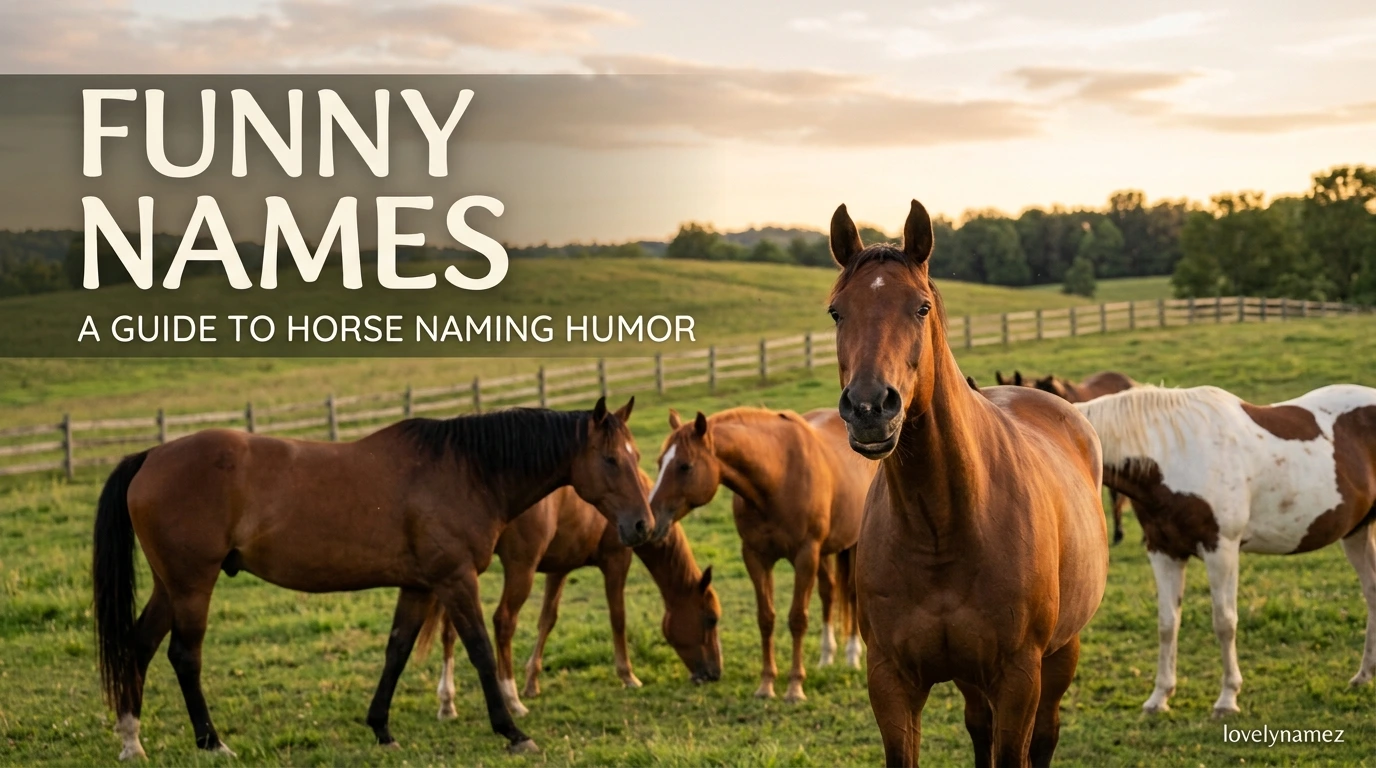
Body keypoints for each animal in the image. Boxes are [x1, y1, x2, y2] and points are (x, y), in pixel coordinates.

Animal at [92, 397, 653, 760]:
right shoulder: (456, 581)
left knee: (138, 646)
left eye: (637, 456)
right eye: (609, 459)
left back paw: (131, 740)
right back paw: (211, 742)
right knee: (184, 657)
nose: (642, 525)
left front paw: (381, 728)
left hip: (170, 586)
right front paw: (511, 730)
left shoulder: (421, 586)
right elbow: (479, 650)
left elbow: (397, 650)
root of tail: (150, 456)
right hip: (192, 585)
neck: (467, 470)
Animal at [408, 480, 722, 721]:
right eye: (711, 619)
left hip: (465, 572)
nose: (714, 673)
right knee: (502, 622)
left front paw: (532, 682)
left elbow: (547, 620)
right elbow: (618, 617)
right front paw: (627, 675)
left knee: (450, 631)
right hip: (518, 568)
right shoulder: (617, 560)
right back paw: (508, 700)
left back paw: (447, 703)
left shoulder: (558, 569)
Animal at [648, 407, 876, 702]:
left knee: (849, 593)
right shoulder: (756, 557)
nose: (650, 519)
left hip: (851, 546)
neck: (777, 478)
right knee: (828, 593)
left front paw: (794, 687)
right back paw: (826, 657)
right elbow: (765, 618)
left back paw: (851, 656)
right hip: (826, 551)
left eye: (684, 466)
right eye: (659, 462)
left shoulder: (805, 556)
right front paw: (766, 684)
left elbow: (797, 619)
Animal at [828, 200, 1108, 767]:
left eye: (920, 308)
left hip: (1061, 653)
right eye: (836, 311)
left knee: (1045, 736)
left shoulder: (1019, 678)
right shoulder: (891, 681)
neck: (942, 526)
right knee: (979, 727)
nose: (869, 408)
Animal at [1074, 384, 1376, 717]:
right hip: (1357, 533)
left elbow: (1224, 622)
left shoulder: (1222, 549)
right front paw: (1159, 697)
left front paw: (1228, 698)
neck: (1173, 456)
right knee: (1372, 592)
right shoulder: (1163, 551)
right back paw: (1364, 675)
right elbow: (1167, 624)